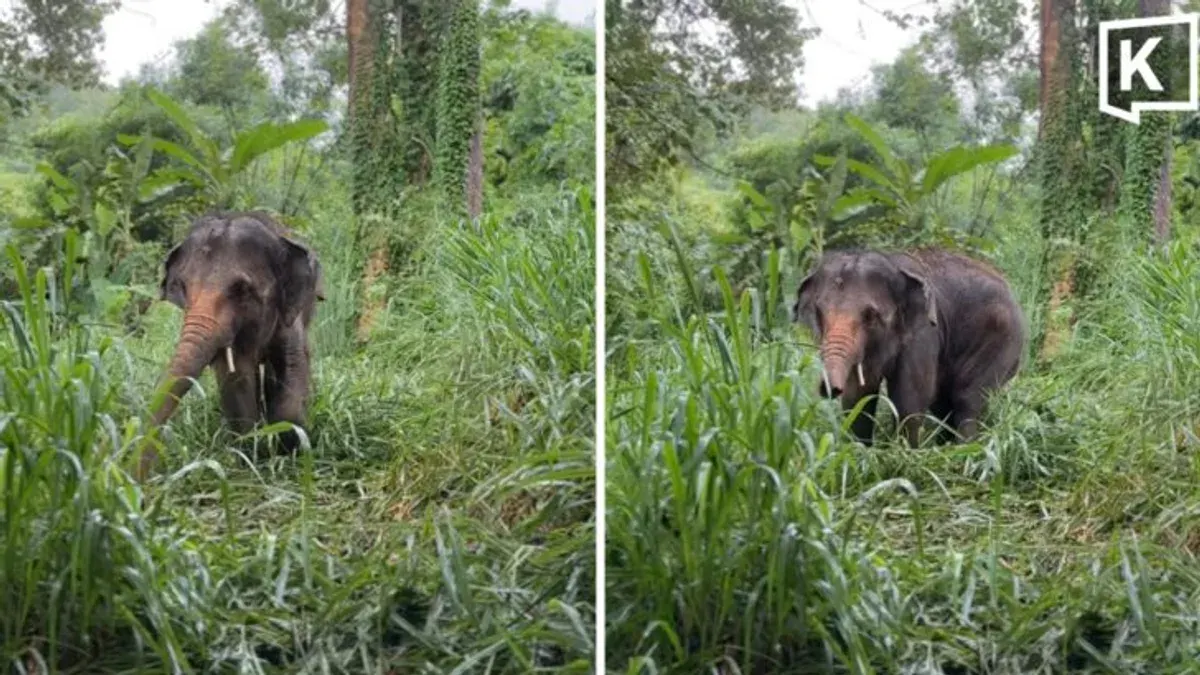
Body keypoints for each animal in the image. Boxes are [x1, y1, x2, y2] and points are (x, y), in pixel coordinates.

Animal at [138, 211, 325, 478]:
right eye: (181, 287)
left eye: (242, 289)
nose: (144, 476)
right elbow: (237, 376)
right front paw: (252, 451)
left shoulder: (290, 314)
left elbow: (293, 361)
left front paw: (289, 447)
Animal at [791, 247, 1025, 446]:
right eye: (819, 312)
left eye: (870, 316)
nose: (827, 389)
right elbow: (858, 398)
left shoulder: (925, 331)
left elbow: (909, 399)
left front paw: (903, 459)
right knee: (943, 404)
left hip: (1002, 342)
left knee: (968, 399)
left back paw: (964, 452)